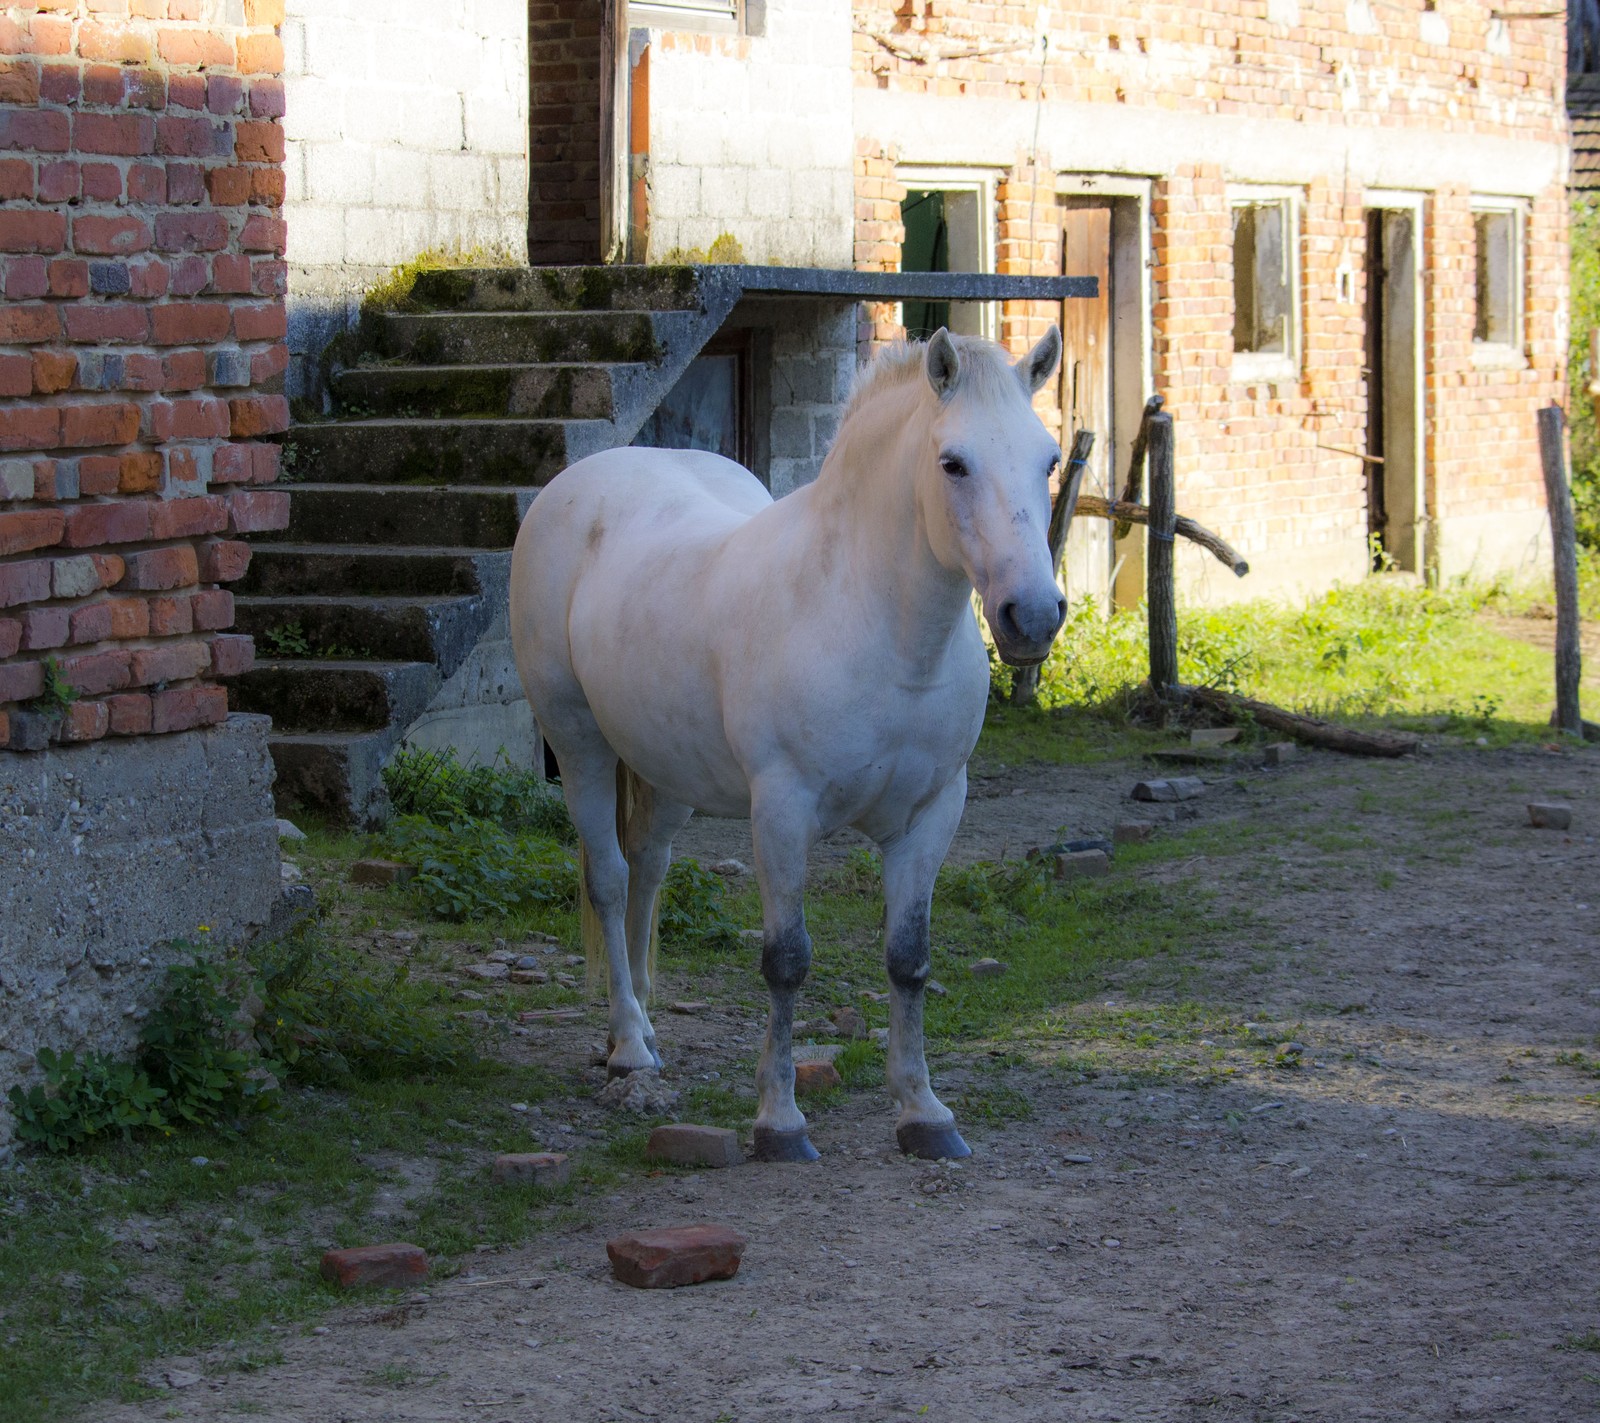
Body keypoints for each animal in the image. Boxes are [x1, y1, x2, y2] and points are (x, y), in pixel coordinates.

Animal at [508, 328, 1062, 1158]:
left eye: (1049, 459)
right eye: (953, 462)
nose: (1033, 613)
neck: (877, 626)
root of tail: (575, 484)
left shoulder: (932, 812)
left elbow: (909, 958)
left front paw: (924, 1112)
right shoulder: (783, 810)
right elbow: (787, 960)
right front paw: (779, 1121)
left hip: (668, 771)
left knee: (648, 870)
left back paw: (638, 1022)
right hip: (580, 745)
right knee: (608, 877)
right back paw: (629, 1042)